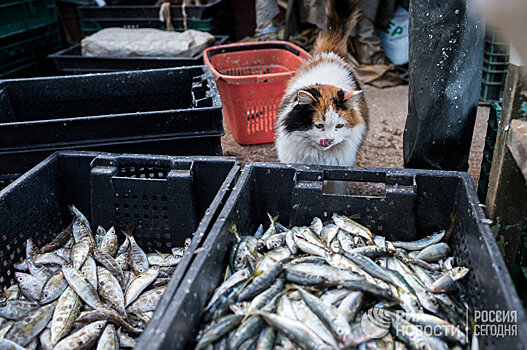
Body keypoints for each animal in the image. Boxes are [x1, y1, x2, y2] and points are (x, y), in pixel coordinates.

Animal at [274, 0, 370, 191]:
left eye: (339, 126)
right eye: (319, 126)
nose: (329, 140)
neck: (319, 159)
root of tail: (329, 53)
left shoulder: (339, 177)